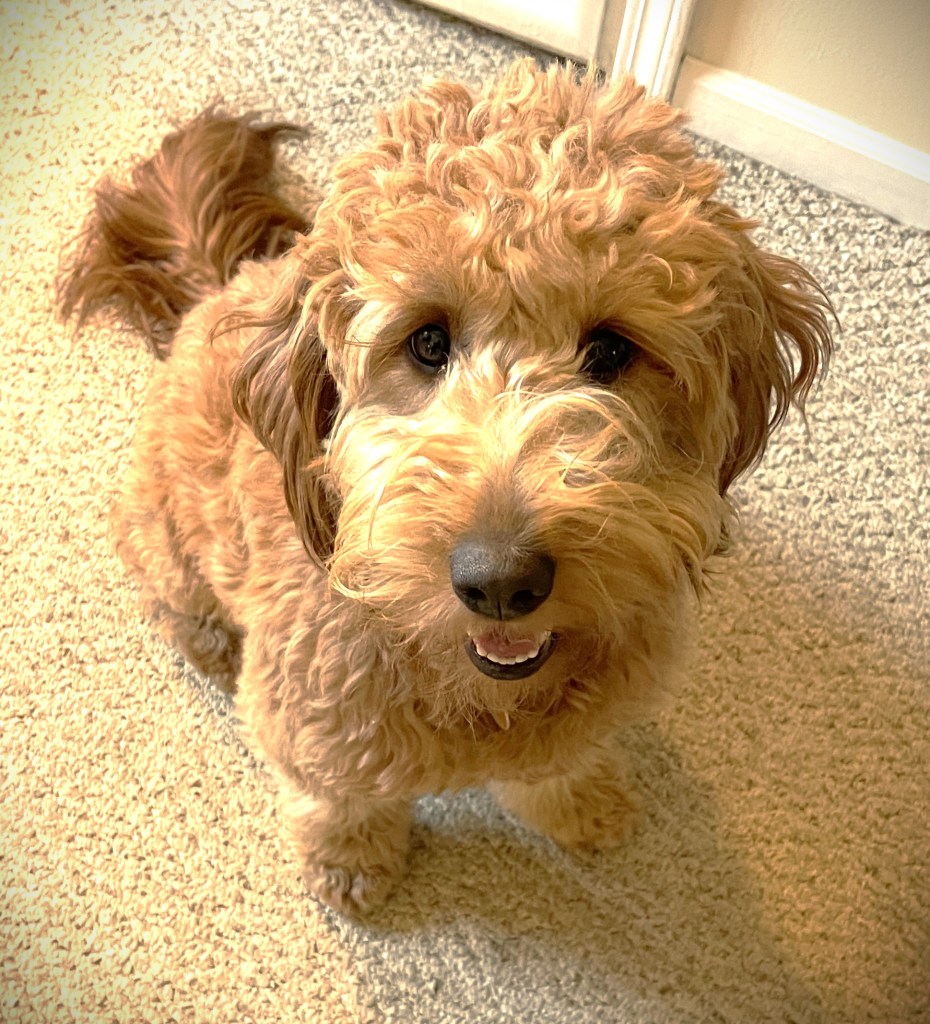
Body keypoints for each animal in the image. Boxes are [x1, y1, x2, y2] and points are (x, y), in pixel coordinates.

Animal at [59, 60, 833, 915]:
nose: (500, 583)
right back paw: (205, 638)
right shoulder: (313, 724)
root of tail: (219, 288)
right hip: (163, 531)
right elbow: (338, 800)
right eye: (427, 341)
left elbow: (560, 764)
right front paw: (350, 862)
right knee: (172, 595)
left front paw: (582, 805)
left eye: (610, 350)